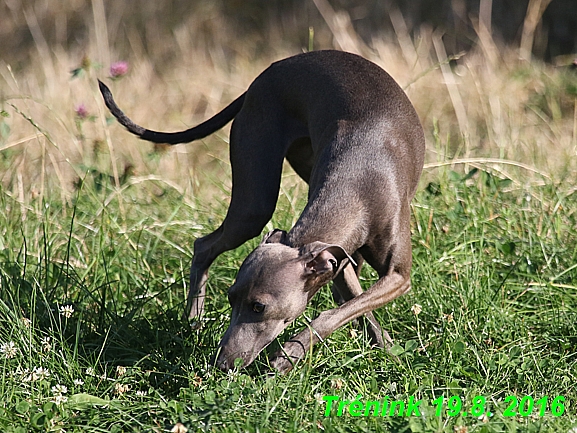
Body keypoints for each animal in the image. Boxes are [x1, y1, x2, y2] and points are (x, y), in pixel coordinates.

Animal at [98, 48, 424, 372]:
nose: (222, 364)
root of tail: (270, 71)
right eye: (231, 298)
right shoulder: (339, 260)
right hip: (254, 203)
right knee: (204, 244)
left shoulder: (395, 275)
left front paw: (295, 352)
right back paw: (193, 320)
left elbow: (342, 310)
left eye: (259, 307)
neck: (358, 182)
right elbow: (348, 306)